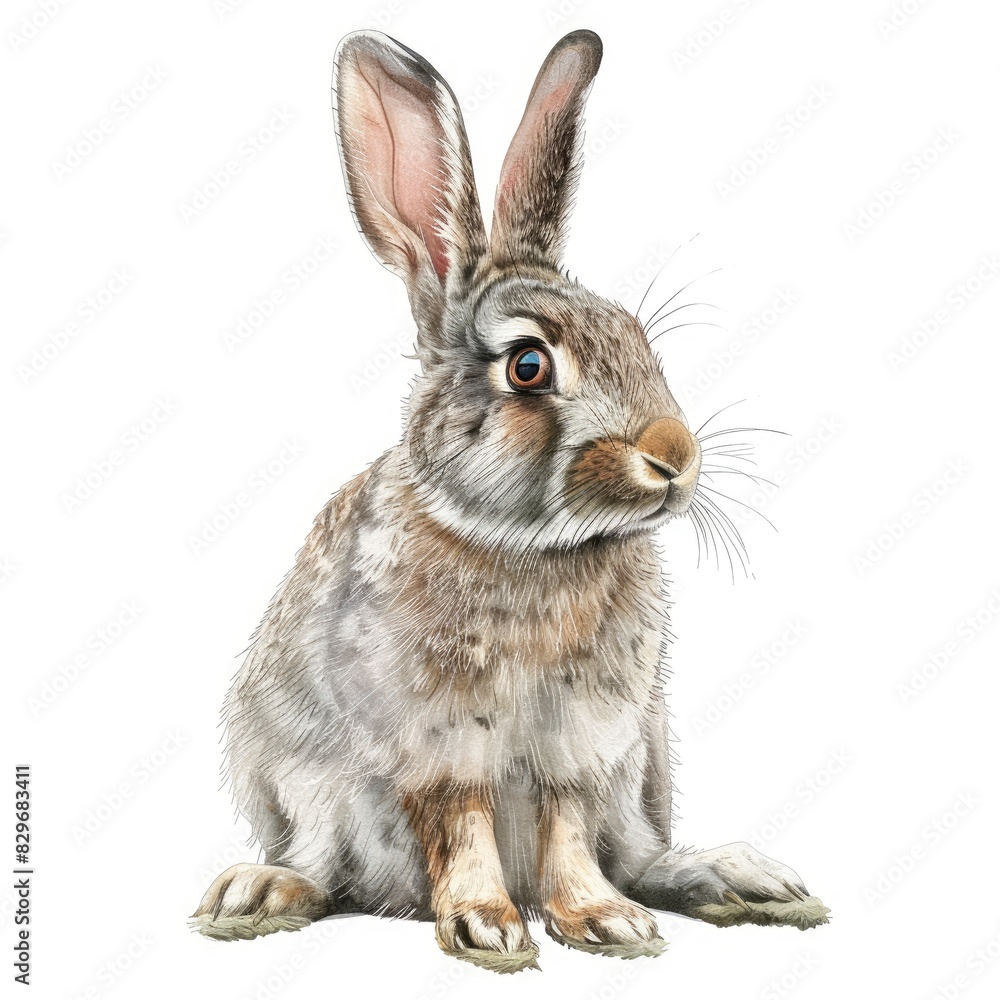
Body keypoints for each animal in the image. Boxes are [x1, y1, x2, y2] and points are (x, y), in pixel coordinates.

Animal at [190, 28, 828, 973]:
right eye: (529, 366)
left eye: (639, 341)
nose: (674, 458)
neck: (528, 547)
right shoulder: (438, 743)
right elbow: (461, 823)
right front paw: (488, 924)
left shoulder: (585, 743)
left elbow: (568, 829)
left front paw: (602, 920)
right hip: (300, 781)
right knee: (319, 864)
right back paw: (258, 891)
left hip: (643, 771)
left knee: (640, 856)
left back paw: (742, 879)